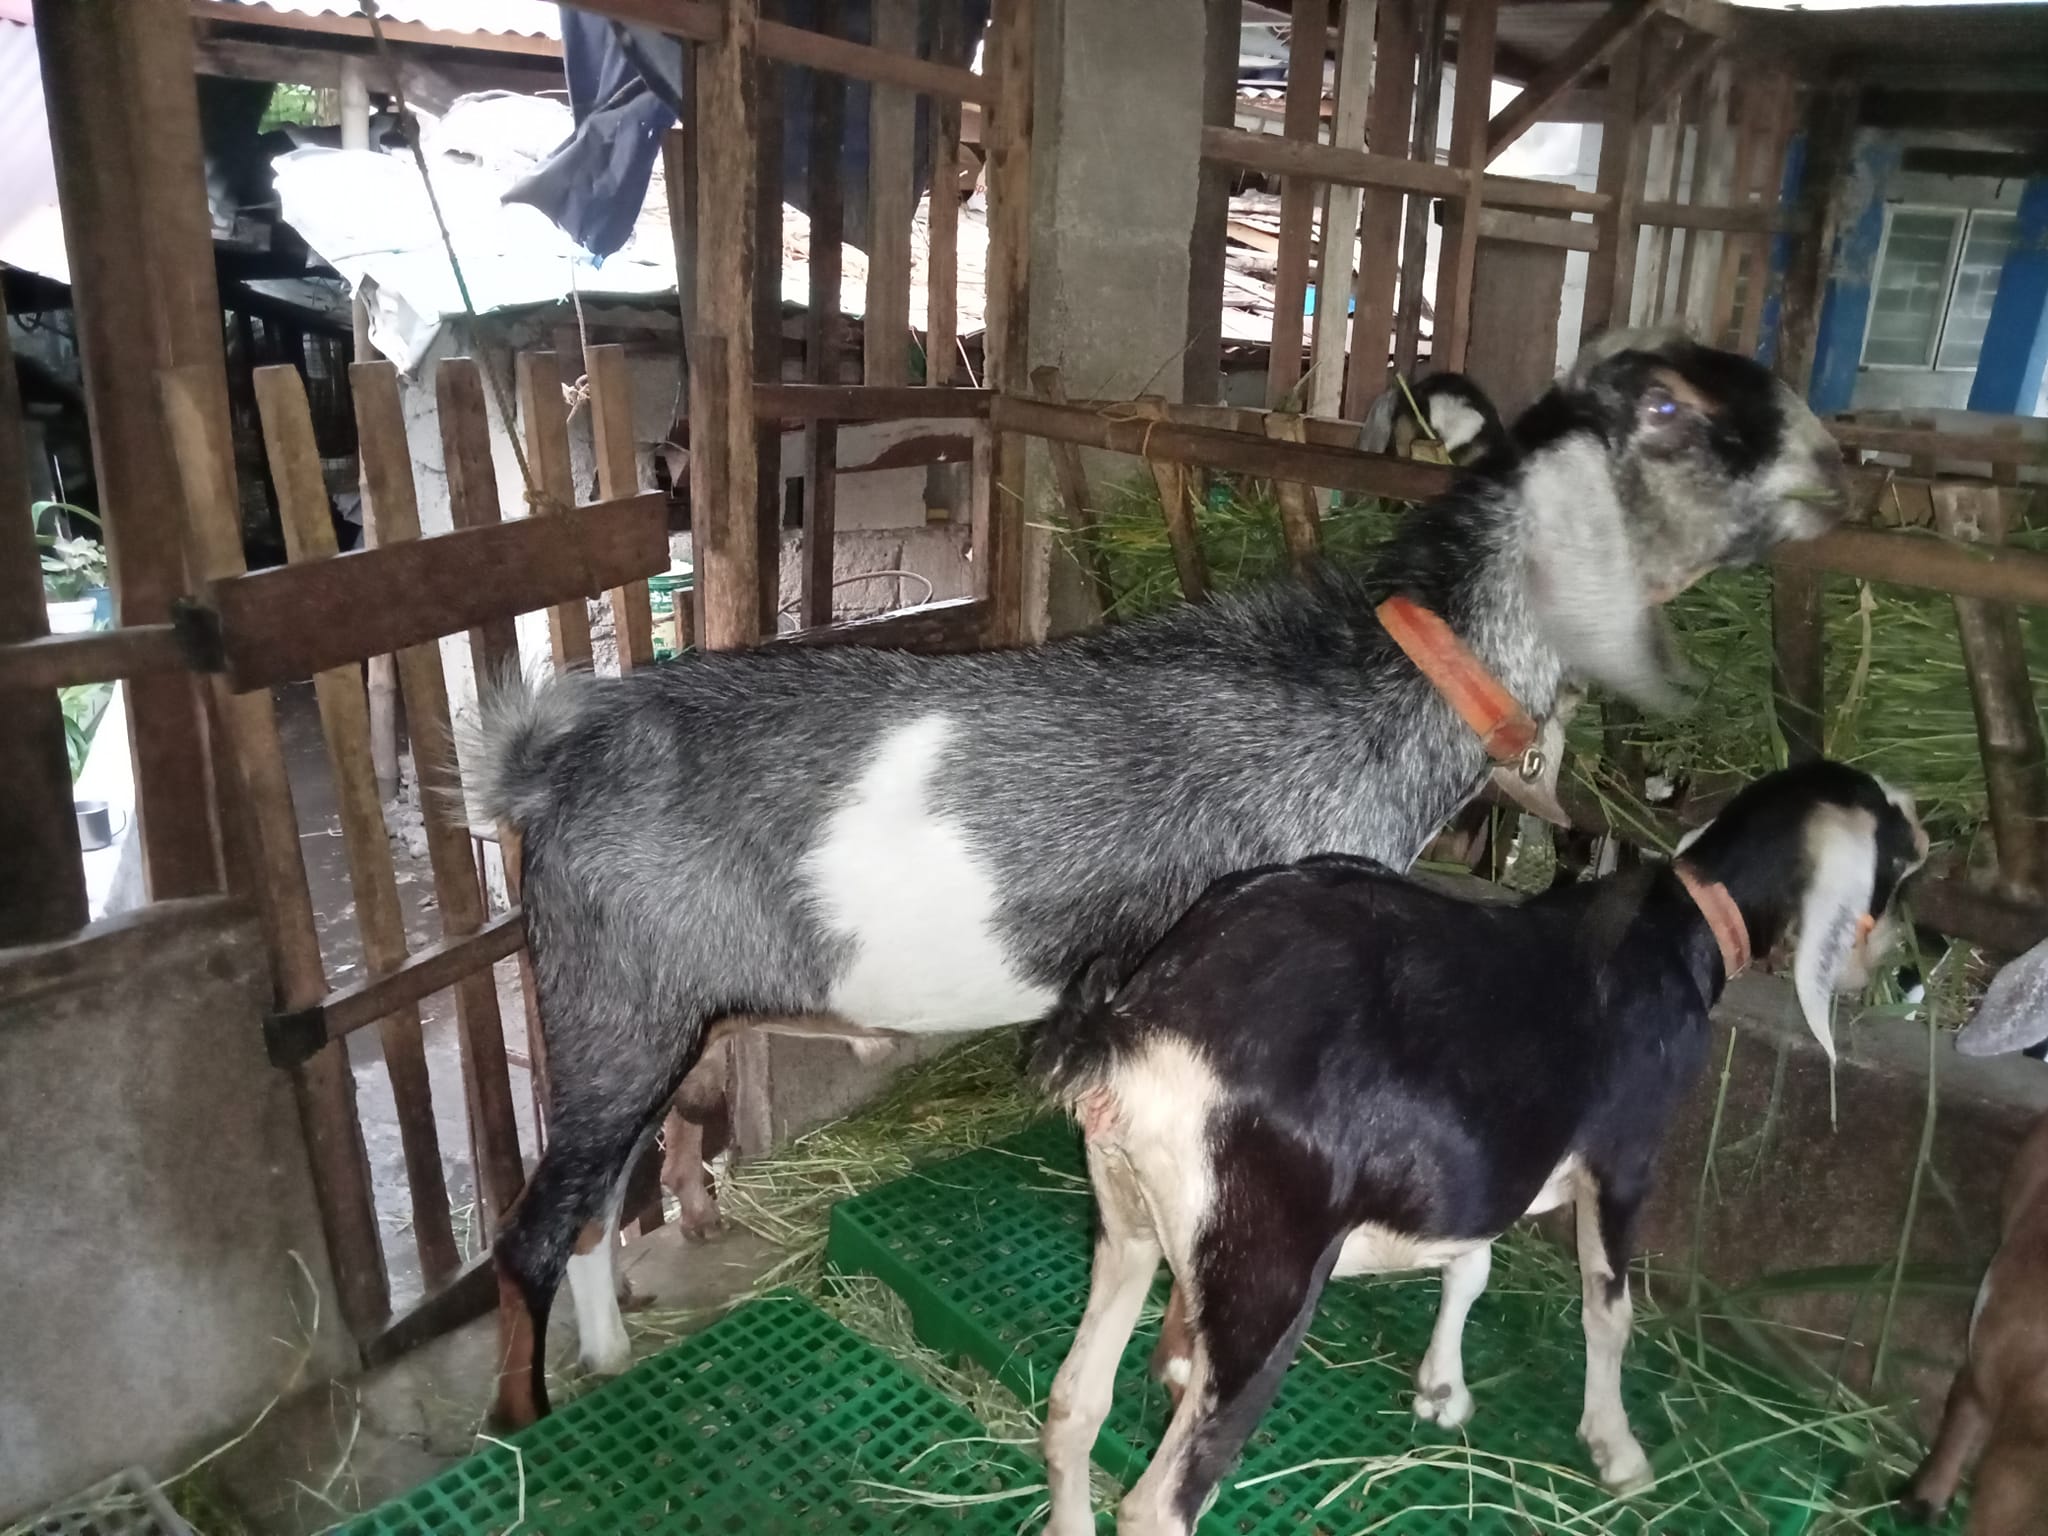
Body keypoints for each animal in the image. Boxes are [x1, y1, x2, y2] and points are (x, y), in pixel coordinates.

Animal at [467, 332, 1848, 1426]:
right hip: (613, 1008)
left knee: (595, 1199)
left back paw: (608, 1355)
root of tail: (545, 759)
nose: (1831, 460)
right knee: (530, 1232)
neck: (1367, 688)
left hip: (651, 1021)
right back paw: (523, 1425)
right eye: (1668, 406)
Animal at [1032, 761, 1928, 1535]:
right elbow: (1609, 1308)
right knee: (1159, 1504)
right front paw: (1617, 1450)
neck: (1680, 931)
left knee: (1074, 1407)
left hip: (1127, 1218)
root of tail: (1139, 1029)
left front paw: (1442, 1388)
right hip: (1265, 1279)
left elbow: (1471, 1264)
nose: (1897, 964)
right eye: (1903, 855)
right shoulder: (1624, 1156)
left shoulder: (1481, 1161)